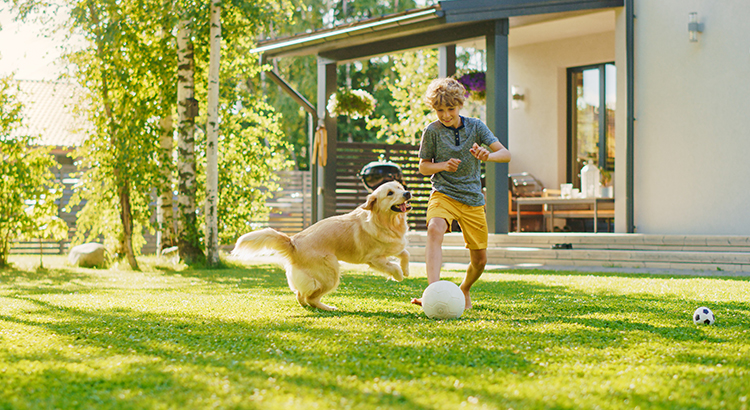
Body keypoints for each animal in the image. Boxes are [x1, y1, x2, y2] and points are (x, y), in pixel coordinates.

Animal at [232, 181, 414, 312]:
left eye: (399, 187)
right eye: (390, 193)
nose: (407, 193)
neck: (387, 222)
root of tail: (293, 242)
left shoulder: (394, 246)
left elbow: (405, 253)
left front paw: (406, 270)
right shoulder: (374, 259)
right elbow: (393, 266)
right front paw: (399, 276)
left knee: (301, 295)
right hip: (331, 272)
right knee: (310, 298)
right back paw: (328, 308)